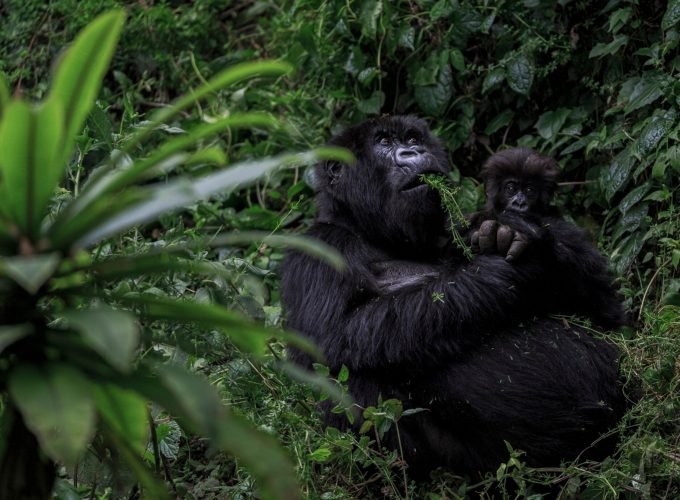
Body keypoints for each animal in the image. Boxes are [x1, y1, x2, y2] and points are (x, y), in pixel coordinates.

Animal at [282, 116, 628, 476]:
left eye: (413, 138)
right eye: (383, 142)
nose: (414, 152)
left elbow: (608, 311)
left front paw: (523, 238)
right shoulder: (317, 248)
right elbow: (335, 334)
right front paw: (507, 270)